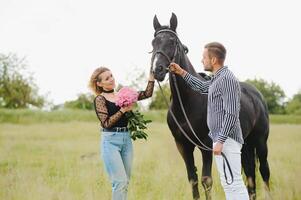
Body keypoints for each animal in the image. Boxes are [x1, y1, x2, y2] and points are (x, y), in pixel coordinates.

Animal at [150, 13, 270, 199]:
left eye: (172, 41)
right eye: (153, 43)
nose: (158, 70)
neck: (188, 103)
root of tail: (257, 95)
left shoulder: (206, 145)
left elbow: (206, 180)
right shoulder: (183, 146)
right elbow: (192, 179)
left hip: (260, 141)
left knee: (264, 171)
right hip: (245, 145)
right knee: (250, 175)